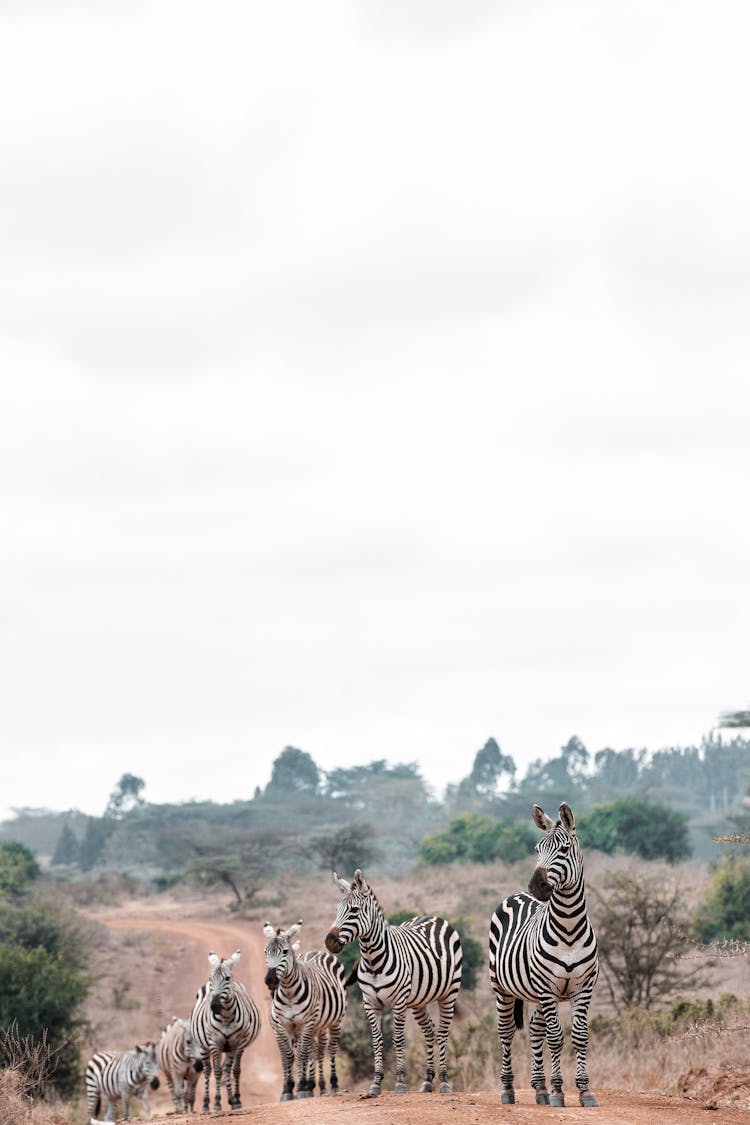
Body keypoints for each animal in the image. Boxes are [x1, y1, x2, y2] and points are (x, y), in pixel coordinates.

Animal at [187, 945, 264, 1111]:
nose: (215, 1006)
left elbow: (235, 1070)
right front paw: (216, 1103)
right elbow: (216, 1071)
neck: (227, 1017)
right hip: (204, 1046)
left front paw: (236, 1100)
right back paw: (206, 1104)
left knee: (227, 1070)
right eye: (211, 979)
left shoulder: (237, 1043)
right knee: (208, 1070)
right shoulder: (214, 1043)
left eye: (227, 978)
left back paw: (231, 1099)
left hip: (228, 1047)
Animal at [263, 913, 348, 1098]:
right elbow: (289, 1056)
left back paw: (332, 1085)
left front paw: (302, 1087)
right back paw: (314, 1085)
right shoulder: (284, 1025)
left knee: (329, 1049)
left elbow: (302, 1054)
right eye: (266, 952)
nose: (270, 980)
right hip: (317, 1026)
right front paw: (289, 1089)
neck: (288, 992)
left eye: (285, 952)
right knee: (315, 1050)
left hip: (335, 1021)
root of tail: (315, 952)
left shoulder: (305, 1023)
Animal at [323, 864, 461, 1093]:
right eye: (336, 911)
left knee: (442, 1033)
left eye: (354, 910)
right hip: (418, 1001)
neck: (373, 961)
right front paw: (376, 1082)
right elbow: (377, 1041)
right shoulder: (370, 1003)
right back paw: (427, 1081)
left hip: (448, 994)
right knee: (430, 1031)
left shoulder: (398, 1002)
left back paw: (443, 1081)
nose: (329, 942)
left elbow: (398, 1039)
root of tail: (433, 916)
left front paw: (399, 1082)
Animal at [490, 801, 602, 1107]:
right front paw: (558, 1092)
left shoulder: (583, 988)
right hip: (502, 987)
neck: (569, 929)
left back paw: (539, 1088)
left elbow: (579, 1036)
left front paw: (584, 1091)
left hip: (536, 994)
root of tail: (517, 894)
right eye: (537, 849)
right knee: (506, 1031)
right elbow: (556, 1038)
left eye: (563, 849)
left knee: (535, 1029)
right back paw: (508, 1089)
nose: (536, 887)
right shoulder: (548, 988)